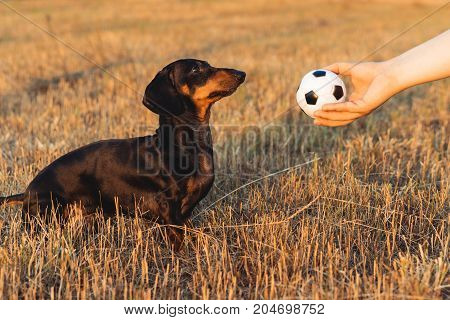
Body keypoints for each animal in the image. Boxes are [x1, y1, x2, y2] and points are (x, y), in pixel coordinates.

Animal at [0, 59, 246, 250]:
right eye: (196, 69)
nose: (241, 73)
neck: (183, 144)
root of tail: (28, 192)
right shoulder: (170, 212)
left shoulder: (183, 216)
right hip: (43, 223)